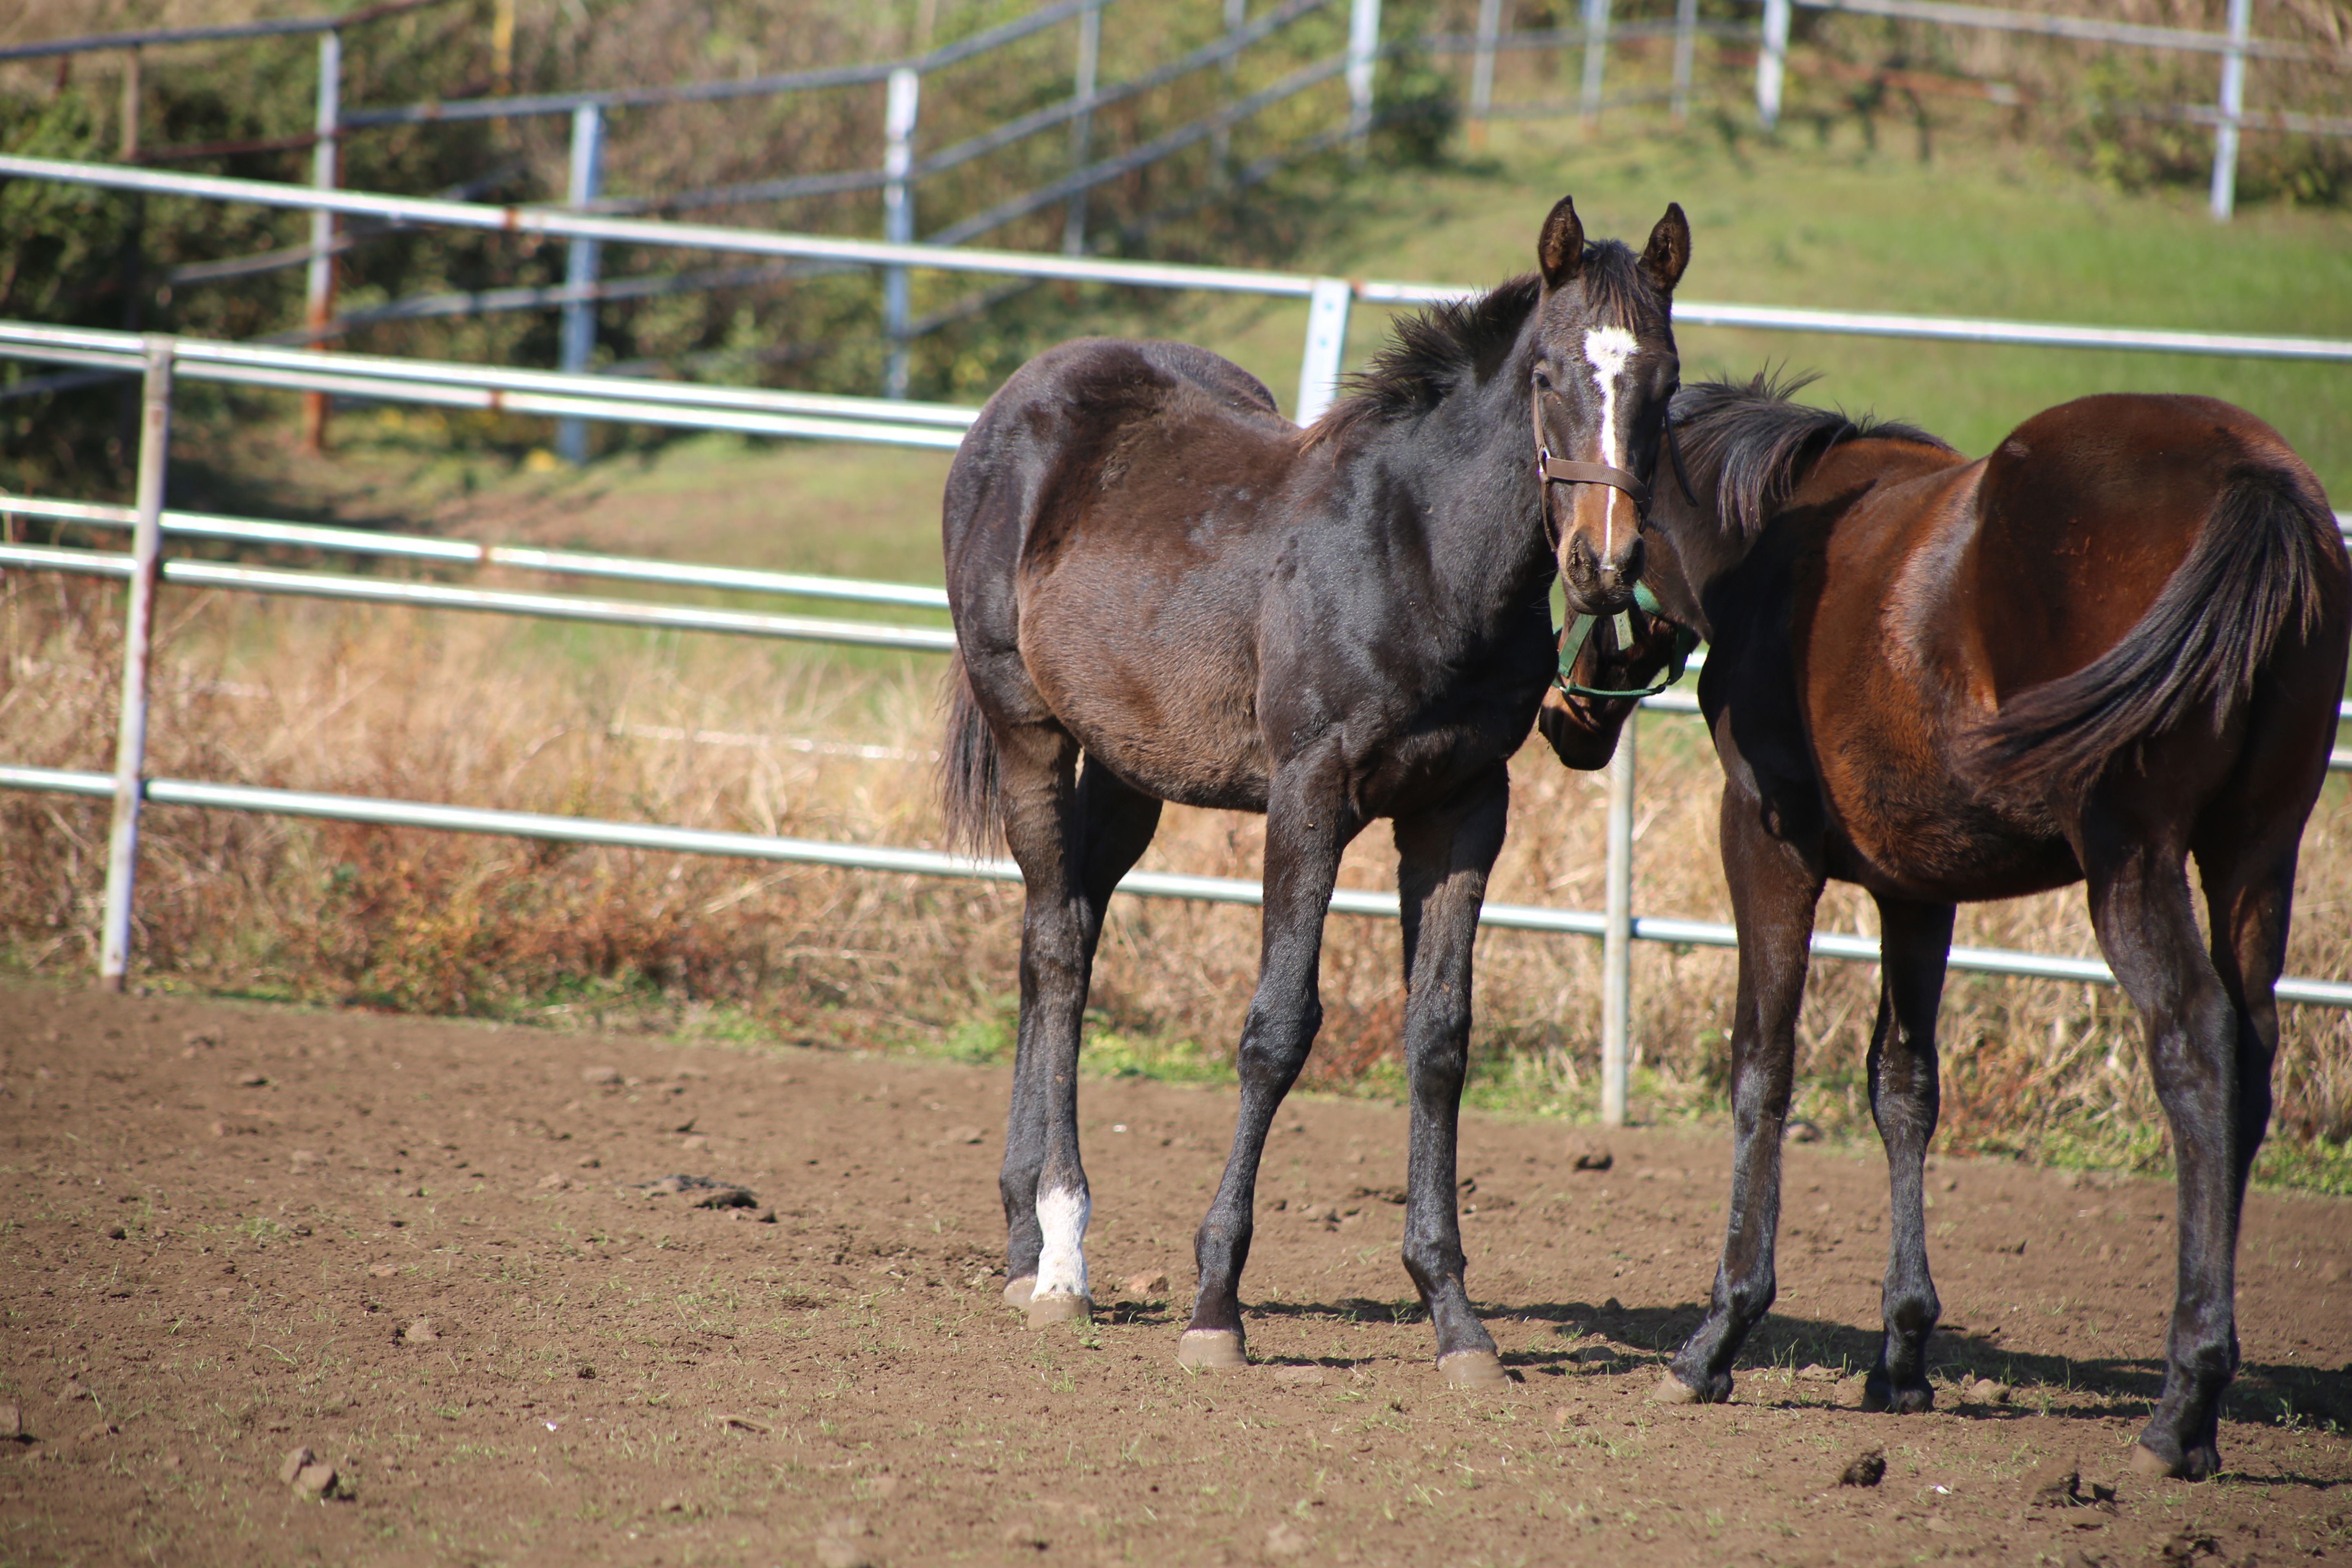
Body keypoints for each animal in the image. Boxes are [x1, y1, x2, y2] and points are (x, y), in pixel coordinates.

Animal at [936, 196, 1693, 1382]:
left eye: (1664, 381)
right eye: (1547, 376)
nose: (1603, 568)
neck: (1420, 557)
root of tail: (1017, 401)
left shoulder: (1462, 807)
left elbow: (1439, 1038)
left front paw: (1454, 1317)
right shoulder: (1310, 796)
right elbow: (1277, 1028)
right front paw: (1214, 1306)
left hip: (1128, 768)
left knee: (1058, 932)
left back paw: (1023, 1241)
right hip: (1030, 731)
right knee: (1057, 954)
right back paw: (1061, 1257)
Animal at [1618, 374, 2352, 1476]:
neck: (1769, 532)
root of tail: (2250, 475)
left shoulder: (1762, 844)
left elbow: (1761, 1066)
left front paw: (1718, 1334)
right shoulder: (1916, 891)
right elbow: (1904, 1090)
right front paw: (1902, 1355)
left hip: (2131, 859)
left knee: (2195, 1045)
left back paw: (2182, 1398)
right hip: (2255, 854)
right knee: (2251, 1062)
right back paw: (2204, 1410)